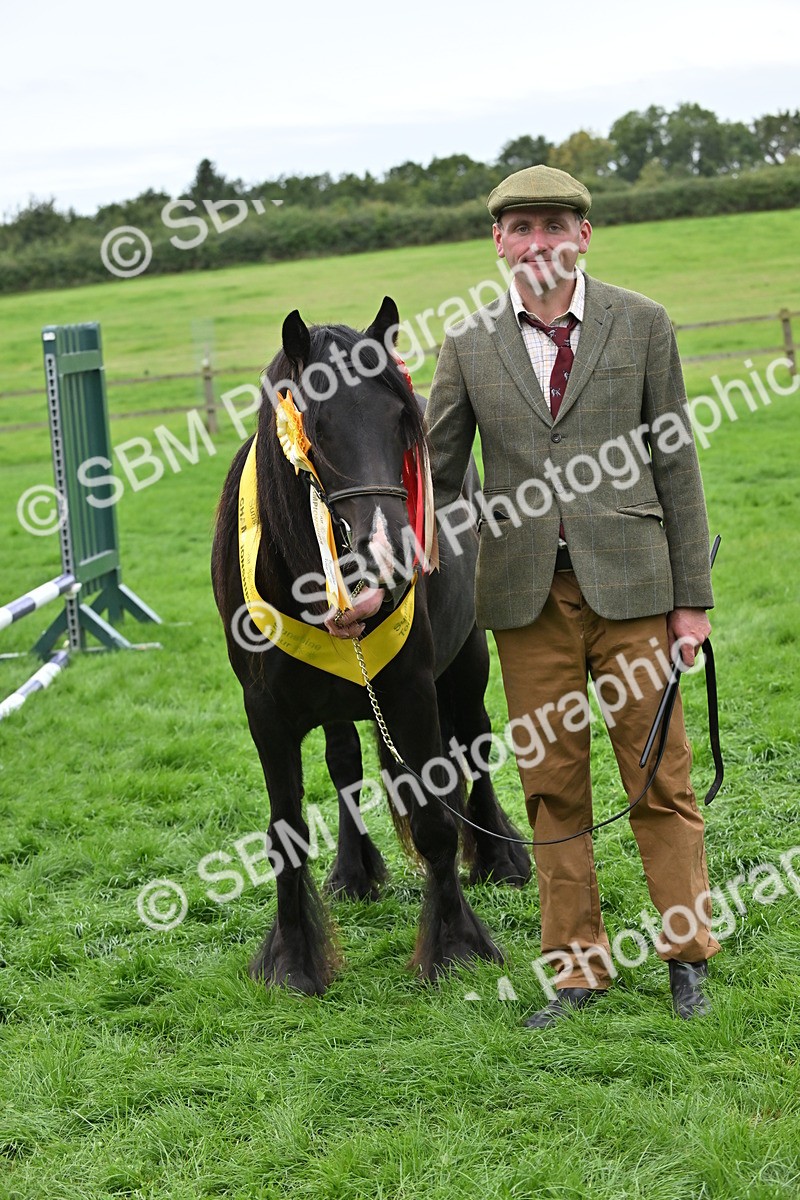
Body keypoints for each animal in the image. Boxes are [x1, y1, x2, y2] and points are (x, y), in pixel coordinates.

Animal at [211, 297, 530, 996]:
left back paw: (500, 856)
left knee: (475, 742)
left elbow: (436, 821)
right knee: (345, 766)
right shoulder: (265, 713)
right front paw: (294, 959)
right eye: (317, 425)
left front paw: (454, 946)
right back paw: (354, 870)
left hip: (465, 664)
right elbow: (286, 832)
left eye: (400, 421)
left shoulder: (411, 691)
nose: (386, 552)